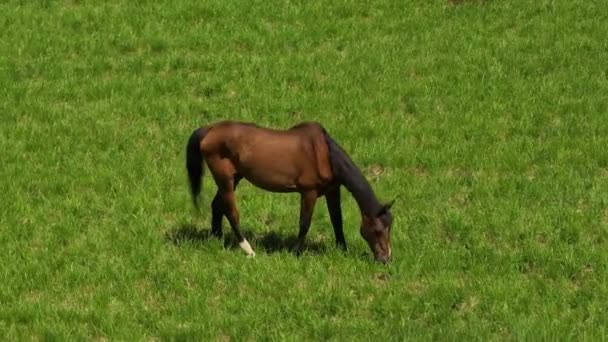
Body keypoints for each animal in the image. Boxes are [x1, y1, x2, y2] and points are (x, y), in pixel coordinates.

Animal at [185, 119, 394, 262]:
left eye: (389, 227)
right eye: (377, 230)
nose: (385, 259)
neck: (324, 153)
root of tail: (209, 130)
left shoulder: (332, 190)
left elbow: (337, 221)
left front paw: (342, 249)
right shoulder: (309, 192)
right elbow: (305, 223)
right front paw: (295, 251)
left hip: (234, 177)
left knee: (217, 205)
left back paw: (216, 238)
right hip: (226, 179)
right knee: (231, 211)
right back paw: (248, 250)